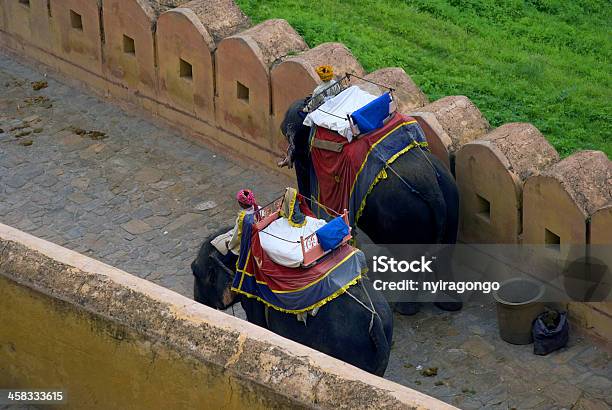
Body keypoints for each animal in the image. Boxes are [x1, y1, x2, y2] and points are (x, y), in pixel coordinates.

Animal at [280, 98, 462, 314]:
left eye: (289, 133)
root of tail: (431, 187)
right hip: (451, 202)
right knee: (445, 253)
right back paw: (449, 305)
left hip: (407, 216)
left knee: (412, 260)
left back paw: (404, 309)